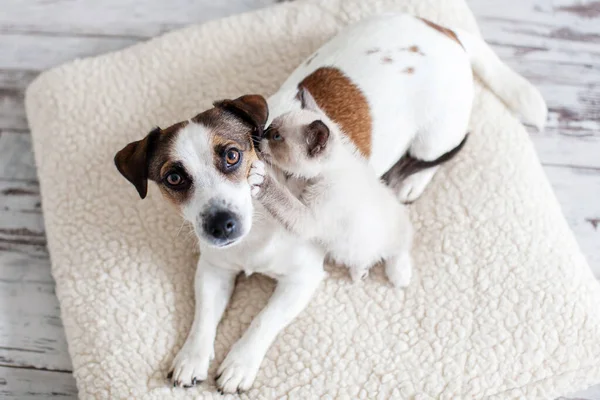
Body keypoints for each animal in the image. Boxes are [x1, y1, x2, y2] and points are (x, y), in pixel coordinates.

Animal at [248, 88, 412, 286]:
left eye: (277, 137)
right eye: (270, 126)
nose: (262, 133)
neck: (321, 174)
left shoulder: (309, 219)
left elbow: (280, 196)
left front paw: (261, 176)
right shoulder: (297, 191)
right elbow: (285, 189)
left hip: (393, 234)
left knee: (400, 247)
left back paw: (400, 275)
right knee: (364, 259)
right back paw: (359, 273)